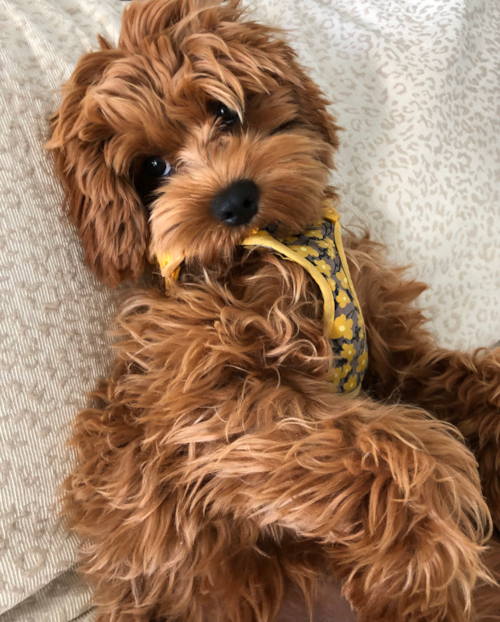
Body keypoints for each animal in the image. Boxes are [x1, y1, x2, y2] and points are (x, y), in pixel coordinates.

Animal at [47, 1, 500, 622]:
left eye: (224, 111)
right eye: (153, 168)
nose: (234, 200)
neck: (271, 253)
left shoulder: (393, 352)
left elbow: (458, 383)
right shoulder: (216, 396)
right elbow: (380, 447)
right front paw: (428, 551)